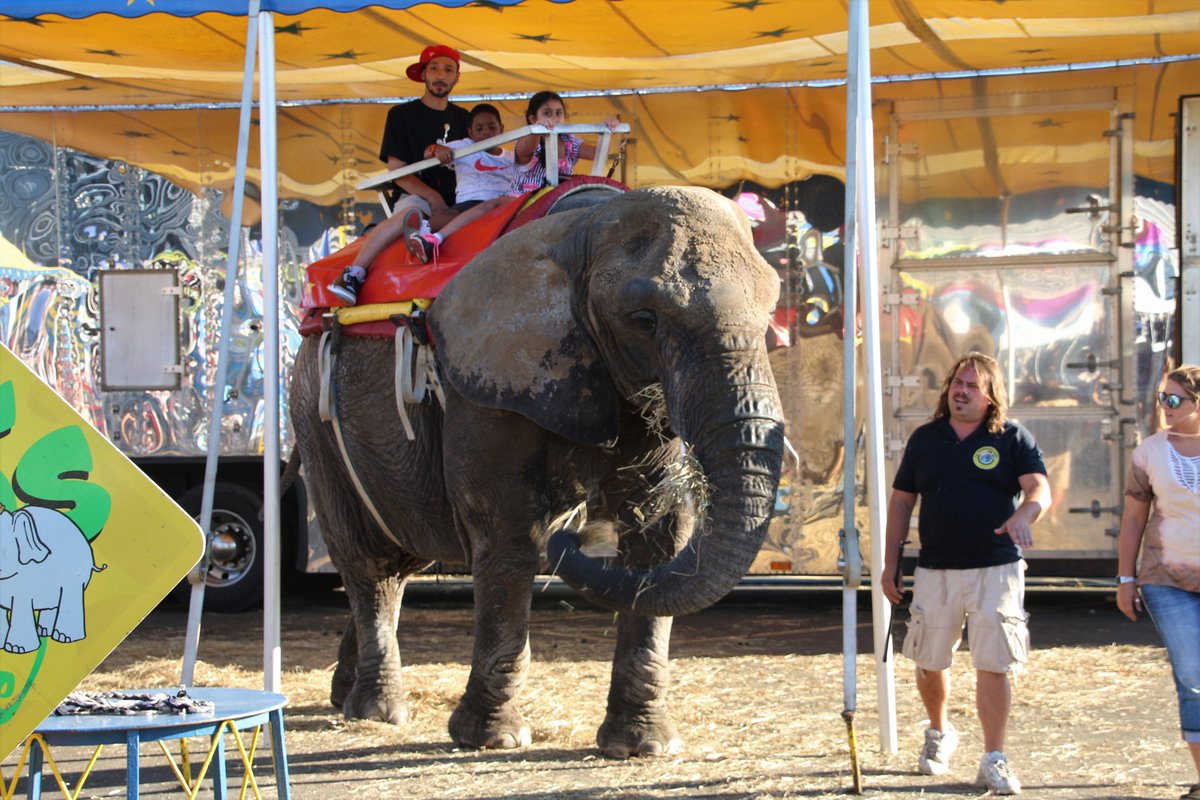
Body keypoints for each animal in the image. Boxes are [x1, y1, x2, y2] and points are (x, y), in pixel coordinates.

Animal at [290, 184, 787, 762]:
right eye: (644, 319)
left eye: (771, 309)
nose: (572, 538)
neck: (583, 227)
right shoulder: (486, 383)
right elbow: (510, 535)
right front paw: (492, 739)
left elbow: (657, 534)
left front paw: (643, 747)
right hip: (312, 410)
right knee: (368, 559)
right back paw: (379, 711)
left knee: (404, 550)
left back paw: (343, 696)